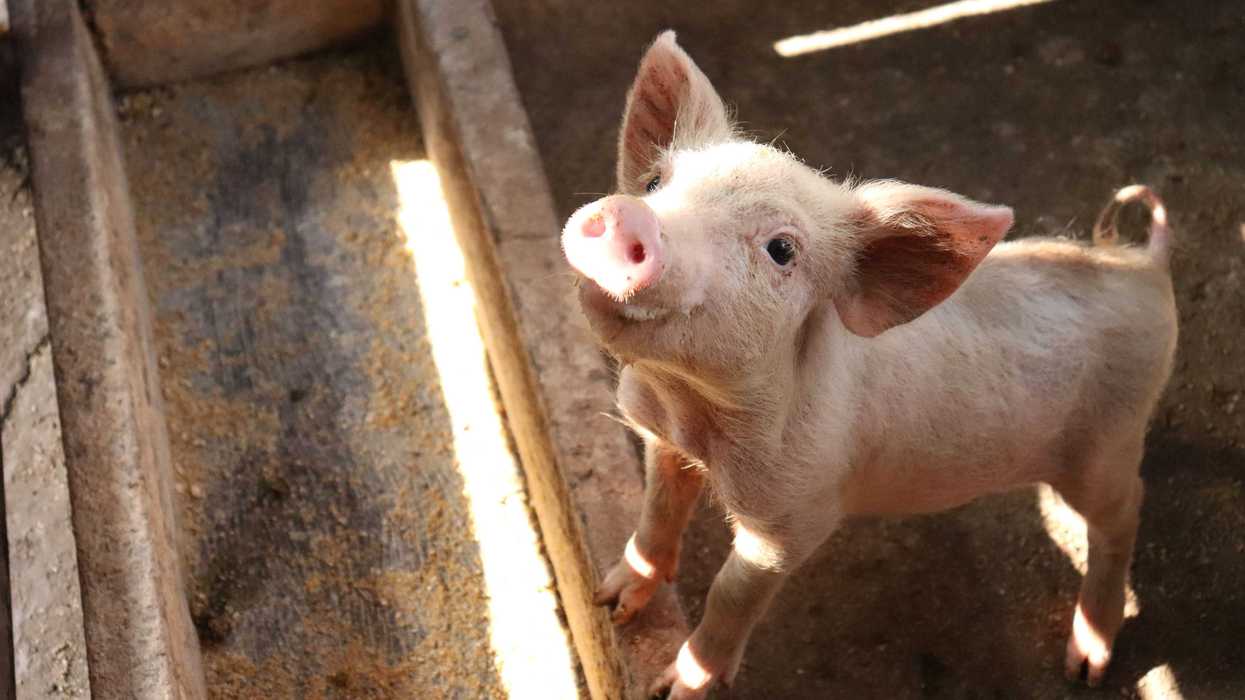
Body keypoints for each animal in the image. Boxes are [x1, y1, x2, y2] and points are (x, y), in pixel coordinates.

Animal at [561, 31, 1177, 699]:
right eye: (654, 182)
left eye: (782, 250)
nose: (628, 214)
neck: (693, 411)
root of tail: (1145, 266)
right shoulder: (662, 441)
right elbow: (656, 513)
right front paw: (610, 603)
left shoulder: (797, 515)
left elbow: (731, 592)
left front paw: (674, 688)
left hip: (1104, 446)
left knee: (1126, 510)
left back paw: (1085, 665)